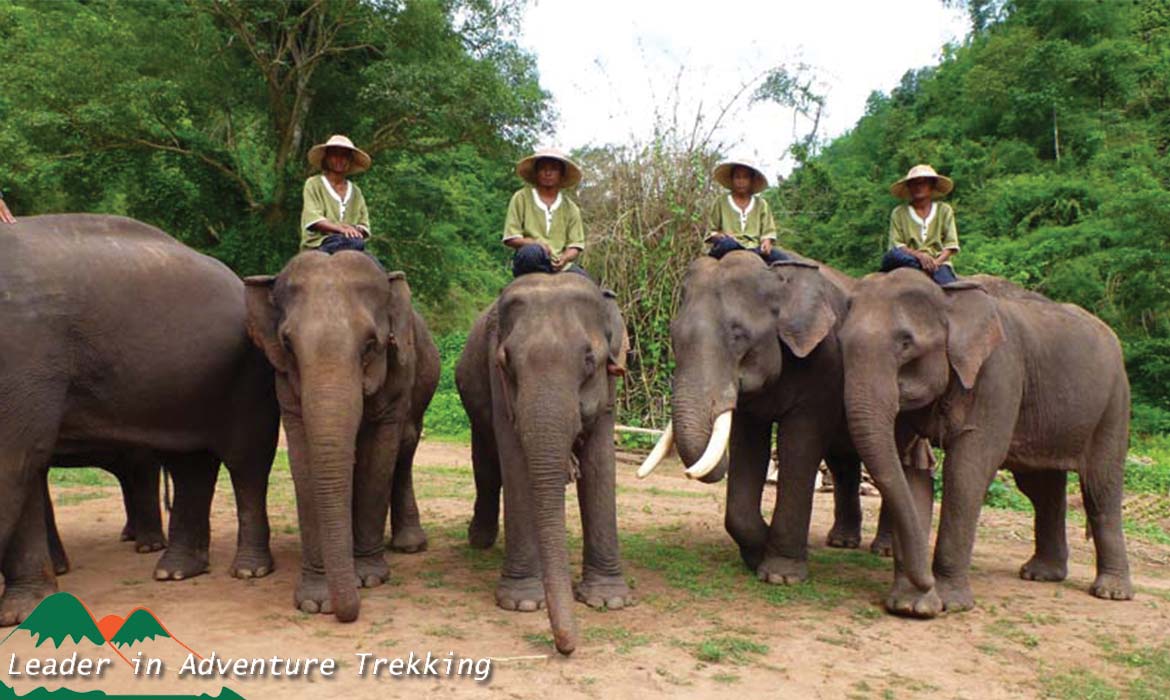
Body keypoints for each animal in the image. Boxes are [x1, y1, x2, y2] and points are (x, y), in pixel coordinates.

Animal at [0, 214, 279, 625]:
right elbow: (27, 468)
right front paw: (25, 609)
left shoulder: (24, 355)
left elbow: (14, 461)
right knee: (190, 464)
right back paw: (175, 571)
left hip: (246, 379)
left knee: (246, 462)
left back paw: (245, 570)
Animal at [244, 251, 439, 622]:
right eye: (288, 344)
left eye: (371, 344)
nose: (346, 613)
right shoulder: (285, 386)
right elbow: (305, 463)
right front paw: (315, 601)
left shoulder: (397, 374)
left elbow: (378, 458)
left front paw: (369, 578)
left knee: (405, 448)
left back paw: (409, 545)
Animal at [456, 273, 633, 656]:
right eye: (506, 362)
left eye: (589, 360)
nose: (567, 648)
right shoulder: (497, 382)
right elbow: (515, 465)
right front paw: (522, 603)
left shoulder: (609, 386)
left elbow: (600, 465)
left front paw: (609, 601)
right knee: (487, 464)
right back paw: (480, 540)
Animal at [638, 250, 896, 584]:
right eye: (673, 336)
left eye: (738, 336)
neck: (778, 277)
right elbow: (749, 447)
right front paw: (758, 555)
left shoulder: (824, 366)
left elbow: (799, 447)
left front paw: (780, 576)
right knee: (842, 461)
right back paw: (841, 542)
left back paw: (884, 549)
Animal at [839, 269, 1132, 617]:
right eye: (841, 341)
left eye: (906, 342)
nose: (927, 584)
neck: (948, 299)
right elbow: (909, 475)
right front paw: (912, 606)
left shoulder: (998, 375)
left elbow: (966, 472)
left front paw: (949, 603)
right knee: (1041, 489)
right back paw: (1041, 574)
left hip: (1114, 404)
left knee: (1100, 487)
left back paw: (1111, 592)